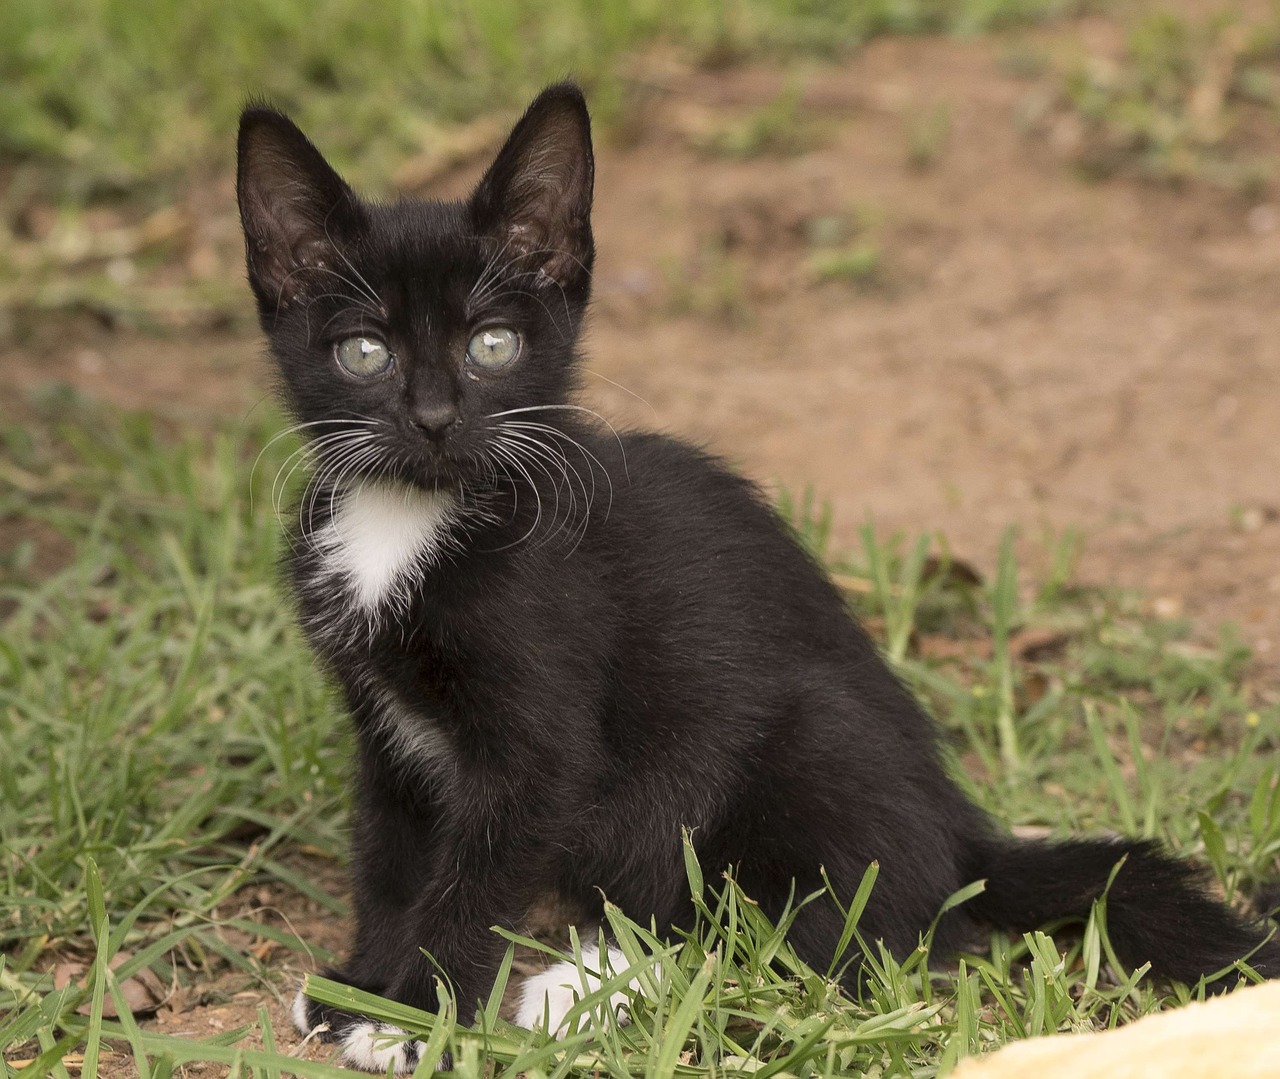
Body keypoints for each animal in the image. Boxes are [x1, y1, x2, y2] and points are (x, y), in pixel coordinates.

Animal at [235, 82, 1274, 1070]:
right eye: (363, 352)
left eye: (492, 345)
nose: (435, 417)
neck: (409, 517)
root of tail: (959, 831)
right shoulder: (384, 723)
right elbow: (390, 853)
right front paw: (362, 985)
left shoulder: (541, 730)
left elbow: (476, 876)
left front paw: (415, 1014)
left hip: (806, 740)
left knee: (825, 940)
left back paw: (586, 986)